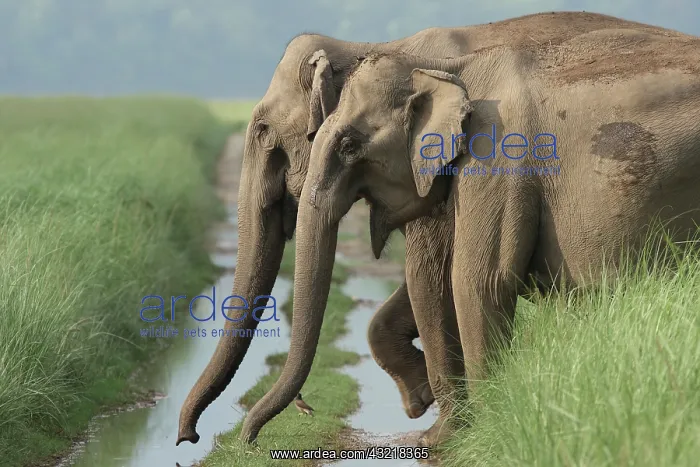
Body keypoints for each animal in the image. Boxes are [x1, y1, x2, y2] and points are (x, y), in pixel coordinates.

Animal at [237, 14, 700, 447]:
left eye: (350, 146)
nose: (250, 439)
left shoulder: (496, 158)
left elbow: (469, 281)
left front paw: (452, 436)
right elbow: (435, 280)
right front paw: (428, 409)